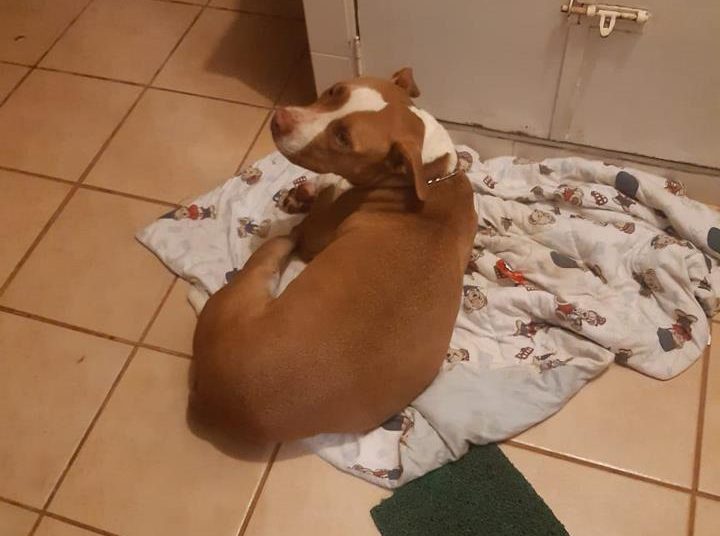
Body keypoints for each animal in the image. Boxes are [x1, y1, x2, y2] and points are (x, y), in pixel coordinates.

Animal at [191, 68, 477, 442]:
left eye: (343, 138)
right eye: (334, 90)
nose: (280, 118)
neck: (432, 176)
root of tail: (213, 400)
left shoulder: (316, 233)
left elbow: (325, 192)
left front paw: (312, 189)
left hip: (260, 266)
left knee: (279, 244)